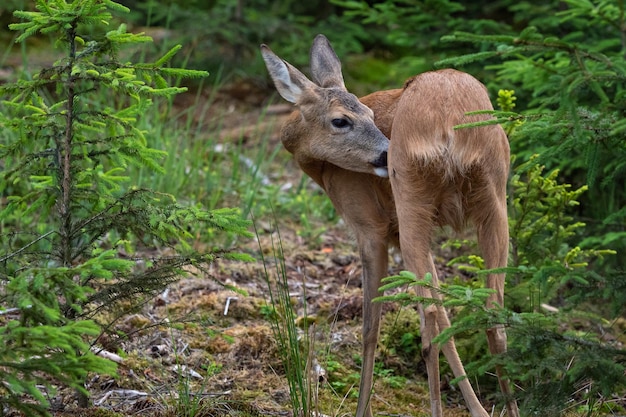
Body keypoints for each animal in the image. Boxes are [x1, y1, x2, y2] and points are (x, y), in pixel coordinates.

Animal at [258, 35, 516, 416]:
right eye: (341, 120)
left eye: (367, 114)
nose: (384, 153)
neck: (320, 169)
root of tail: (450, 118)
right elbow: (447, 317)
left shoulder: (370, 227)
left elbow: (371, 327)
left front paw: (361, 408)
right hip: (495, 197)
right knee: (491, 315)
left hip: (411, 201)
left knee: (430, 319)